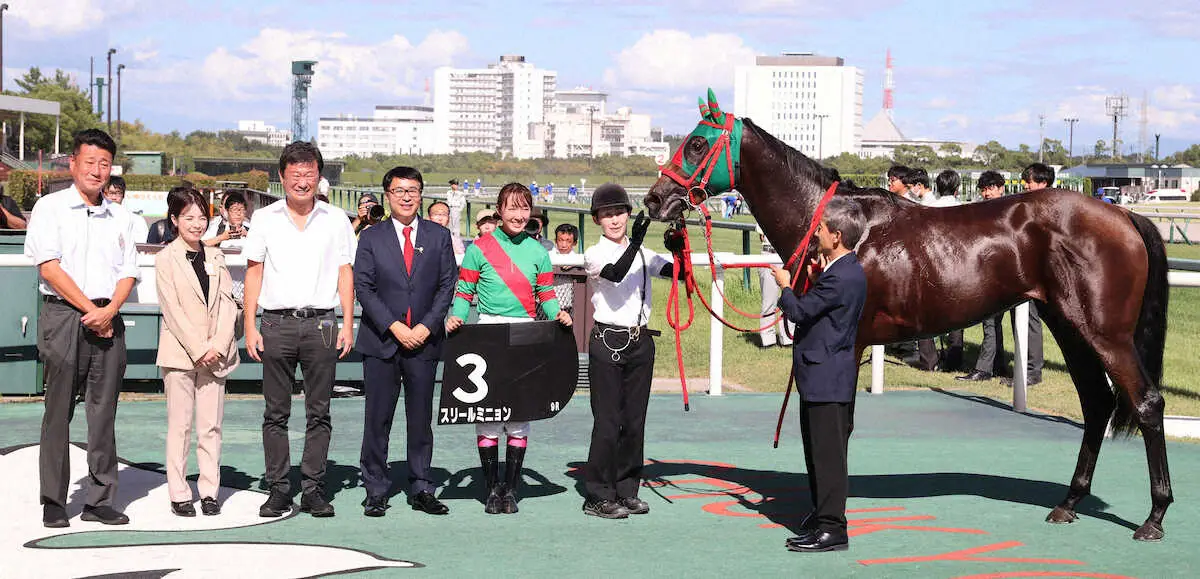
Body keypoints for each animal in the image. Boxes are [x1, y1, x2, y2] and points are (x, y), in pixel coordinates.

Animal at [648, 90, 1171, 542]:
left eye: (697, 144)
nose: (655, 199)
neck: (838, 228)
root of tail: (1123, 216)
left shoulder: (847, 344)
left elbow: (836, 424)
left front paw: (826, 521)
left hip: (1105, 333)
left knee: (1146, 403)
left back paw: (1155, 516)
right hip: (1068, 325)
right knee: (1097, 405)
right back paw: (1069, 503)